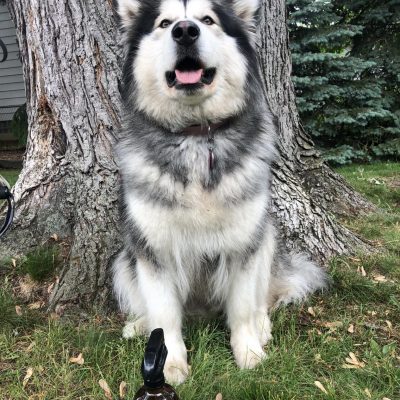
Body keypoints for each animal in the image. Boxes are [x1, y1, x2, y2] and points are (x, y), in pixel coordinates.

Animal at [111, 0, 324, 384]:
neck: (198, 136)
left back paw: (261, 325)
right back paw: (138, 324)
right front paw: (170, 363)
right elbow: (164, 316)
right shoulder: (153, 249)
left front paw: (249, 352)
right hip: (122, 260)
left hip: (266, 238)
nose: (184, 31)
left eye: (207, 20)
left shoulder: (243, 244)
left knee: (260, 299)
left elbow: (241, 308)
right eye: (164, 23)